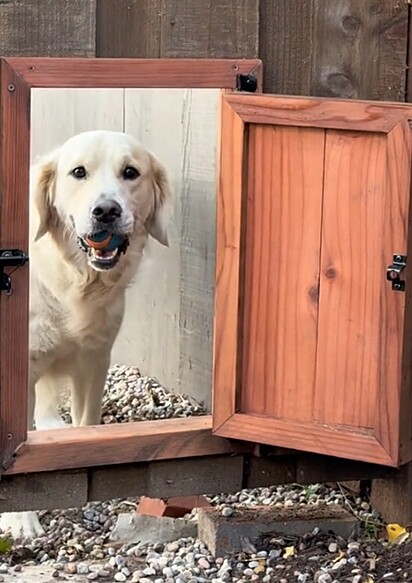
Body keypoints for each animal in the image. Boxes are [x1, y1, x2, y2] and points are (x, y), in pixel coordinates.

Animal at [0, 129, 172, 540]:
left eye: (131, 172)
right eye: (78, 172)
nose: (106, 211)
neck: (73, 283)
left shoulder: (94, 360)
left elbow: (86, 423)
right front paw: (19, 519)